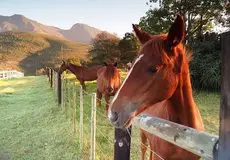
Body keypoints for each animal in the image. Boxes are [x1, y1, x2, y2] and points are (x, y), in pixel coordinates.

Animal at [108, 15, 204, 160]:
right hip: (143, 136)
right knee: (143, 149)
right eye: (131, 66)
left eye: (154, 68)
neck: (183, 134)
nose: (113, 114)